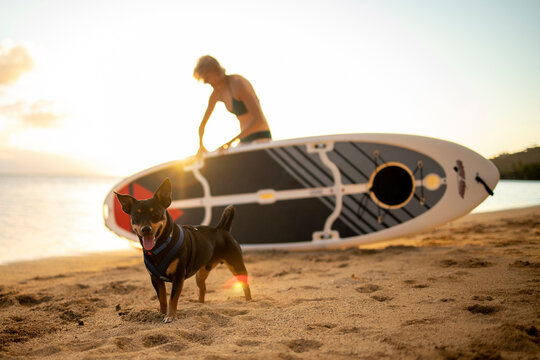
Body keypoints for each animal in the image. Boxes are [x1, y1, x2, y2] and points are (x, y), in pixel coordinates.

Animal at [114, 179, 253, 322]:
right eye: (136, 216)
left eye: (156, 214)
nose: (146, 229)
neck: (160, 246)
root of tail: (221, 229)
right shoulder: (155, 279)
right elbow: (162, 298)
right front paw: (162, 313)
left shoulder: (178, 277)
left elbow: (172, 298)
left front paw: (170, 316)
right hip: (201, 273)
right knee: (203, 288)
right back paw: (200, 305)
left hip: (236, 265)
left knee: (245, 284)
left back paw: (249, 301)